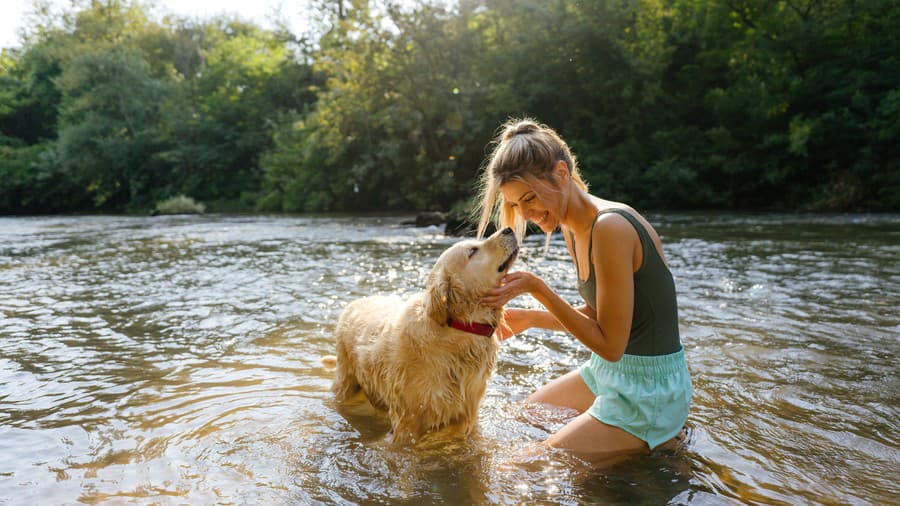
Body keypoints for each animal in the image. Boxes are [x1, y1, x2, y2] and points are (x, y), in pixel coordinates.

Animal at [330, 227, 516, 444]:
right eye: (472, 251)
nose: (508, 229)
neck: (459, 327)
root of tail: (355, 302)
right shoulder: (408, 420)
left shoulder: (468, 411)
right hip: (346, 383)